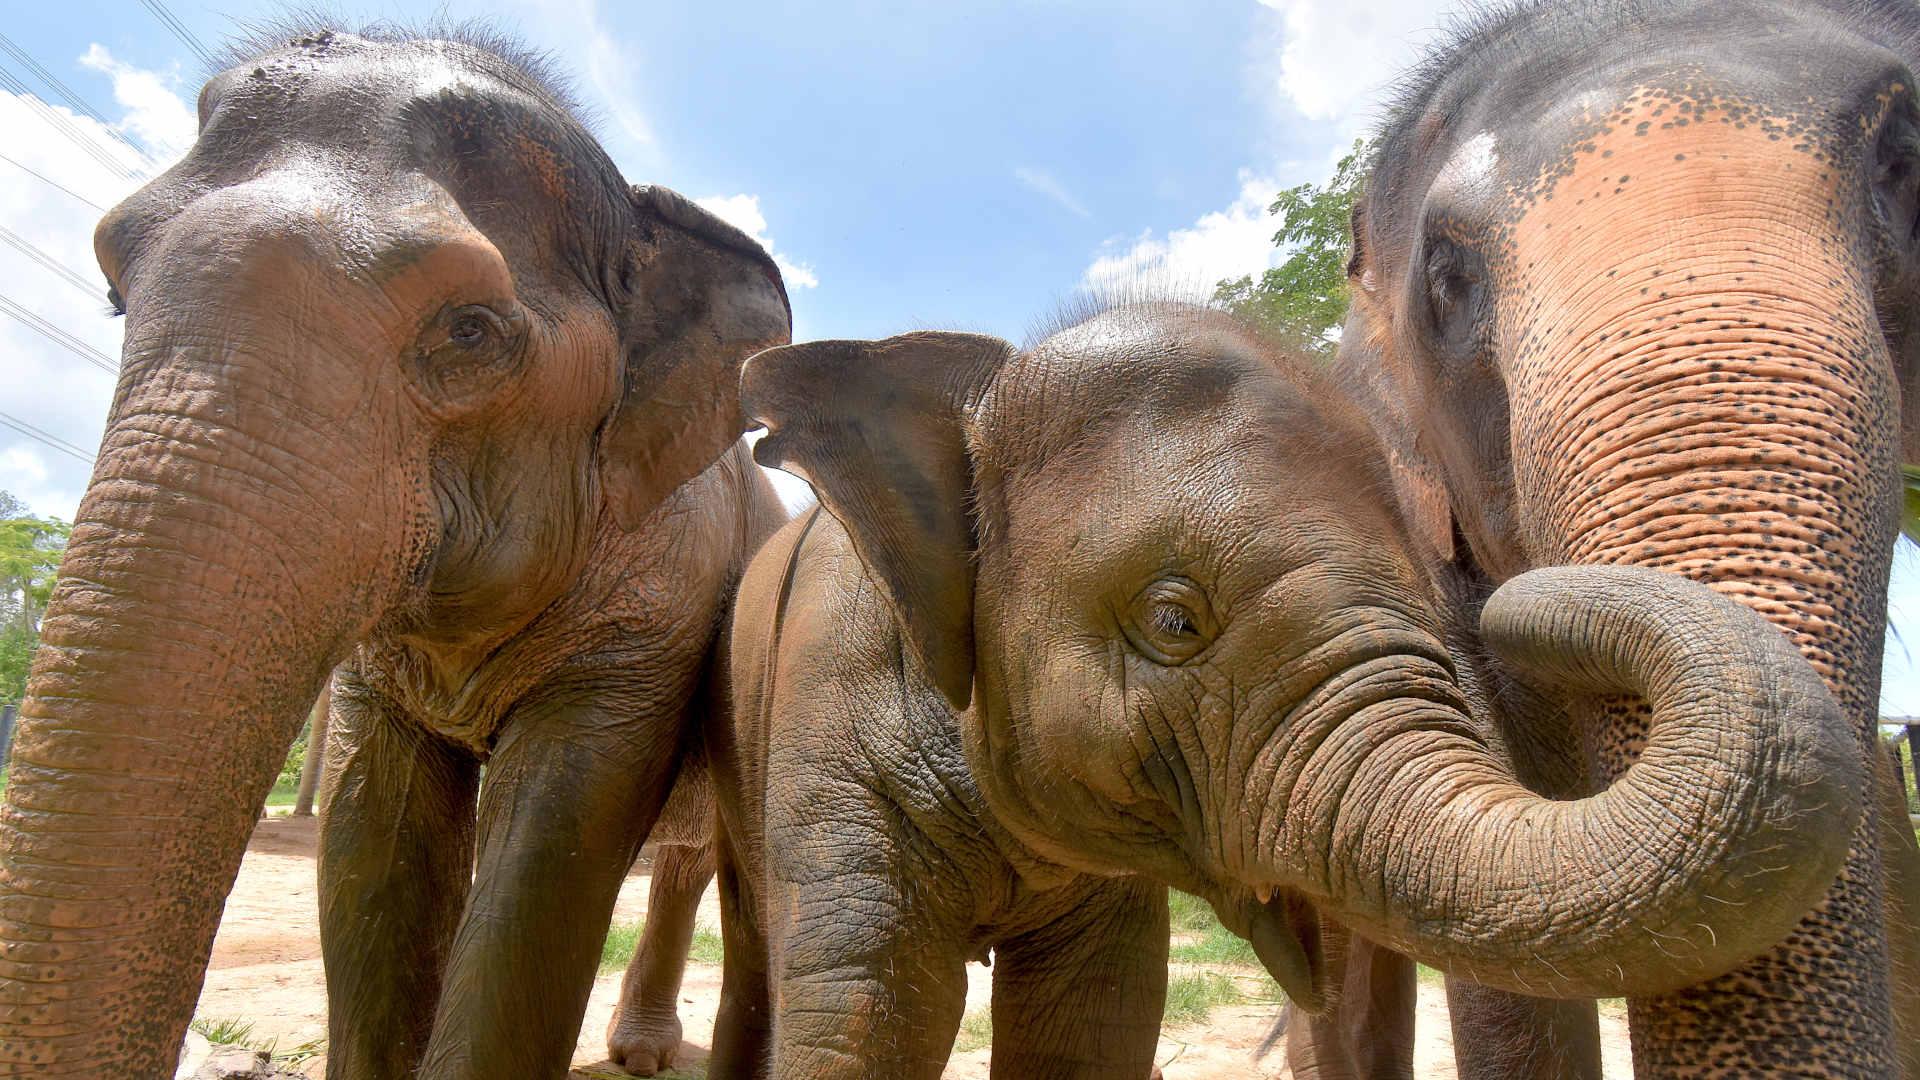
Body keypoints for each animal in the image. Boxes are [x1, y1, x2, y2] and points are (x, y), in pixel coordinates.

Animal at [0, 21, 787, 1068]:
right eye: (114, 294)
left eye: (471, 330)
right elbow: (372, 841)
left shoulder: (659, 605)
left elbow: (549, 858)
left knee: (699, 860)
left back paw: (646, 1058)